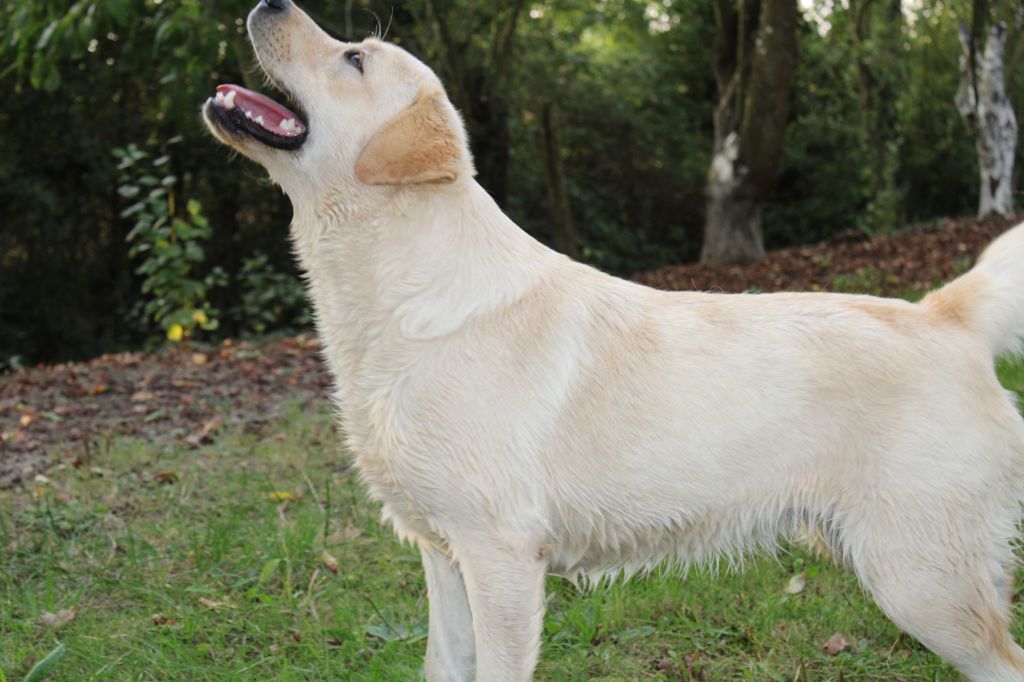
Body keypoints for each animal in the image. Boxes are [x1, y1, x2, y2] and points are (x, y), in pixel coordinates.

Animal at [204, 2, 1024, 679]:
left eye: (354, 58)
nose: (268, 0)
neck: (403, 292)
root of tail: (944, 315)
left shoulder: (501, 556)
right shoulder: (442, 553)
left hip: (919, 579)